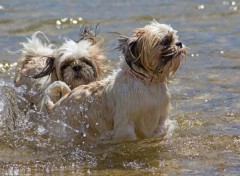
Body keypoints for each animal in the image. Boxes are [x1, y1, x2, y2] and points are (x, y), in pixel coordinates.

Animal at [43, 20, 186, 144]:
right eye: (166, 41)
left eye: (174, 38)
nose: (179, 43)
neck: (147, 84)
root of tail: (53, 106)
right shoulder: (125, 125)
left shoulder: (161, 120)